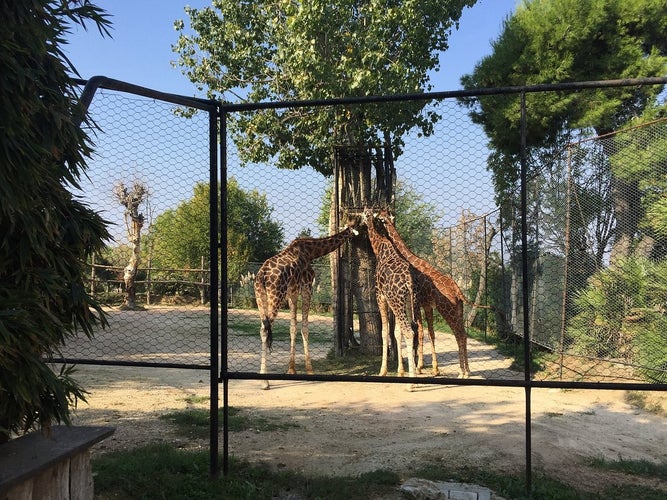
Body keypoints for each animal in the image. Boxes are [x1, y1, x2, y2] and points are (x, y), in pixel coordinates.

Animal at [256, 220, 360, 390]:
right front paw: (310, 370)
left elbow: (292, 327)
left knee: (263, 327)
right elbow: (304, 328)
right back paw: (265, 382)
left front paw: (291, 369)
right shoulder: (307, 287)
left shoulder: (292, 293)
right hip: (275, 295)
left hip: (261, 297)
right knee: (266, 328)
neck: (311, 252)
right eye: (361, 221)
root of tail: (262, 275)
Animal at [362, 207, 420, 378]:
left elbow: (384, 331)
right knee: (414, 329)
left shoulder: (380, 296)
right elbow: (396, 332)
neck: (380, 248)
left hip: (397, 301)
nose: (362, 221)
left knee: (409, 332)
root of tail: (409, 282)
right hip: (409, 302)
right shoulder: (392, 300)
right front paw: (400, 371)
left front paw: (383, 371)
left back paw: (412, 381)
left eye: (365, 214)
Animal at [380, 208, 474, 378]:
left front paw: (419, 367)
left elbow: (420, 332)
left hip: (447, 310)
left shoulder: (419, 304)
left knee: (459, 334)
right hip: (459, 310)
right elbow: (429, 333)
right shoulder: (427, 305)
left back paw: (461, 372)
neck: (413, 259)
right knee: (463, 334)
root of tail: (458, 291)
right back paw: (467, 371)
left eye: (380, 217)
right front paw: (432, 368)